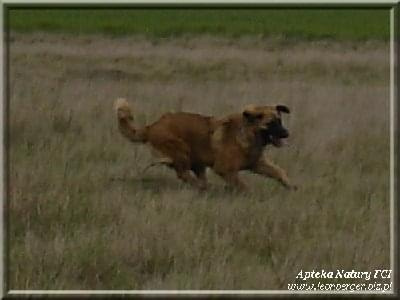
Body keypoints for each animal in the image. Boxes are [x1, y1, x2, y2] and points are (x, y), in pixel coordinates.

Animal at [114, 98, 296, 190]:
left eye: (280, 120)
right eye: (271, 123)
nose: (287, 133)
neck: (247, 134)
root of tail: (152, 126)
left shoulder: (257, 164)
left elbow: (279, 172)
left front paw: (290, 186)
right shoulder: (224, 169)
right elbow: (242, 184)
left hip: (196, 161)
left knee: (188, 173)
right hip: (182, 150)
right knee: (182, 173)